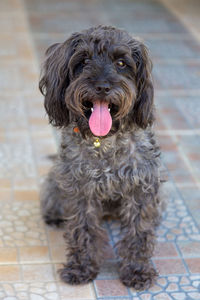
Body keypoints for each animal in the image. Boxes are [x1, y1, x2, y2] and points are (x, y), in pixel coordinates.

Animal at [39, 25, 162, 290]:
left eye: (121, 63)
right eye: (84, 61)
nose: (103, 87)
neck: (104, 141)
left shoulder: (141, 187)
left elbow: (139, 232)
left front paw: (137, 270)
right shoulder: (80, 191)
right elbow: (82, 230)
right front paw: (81, 267)